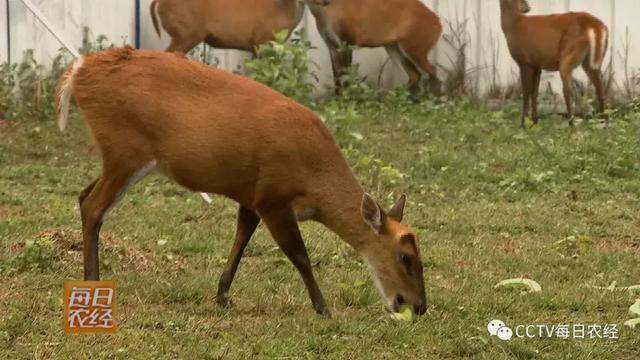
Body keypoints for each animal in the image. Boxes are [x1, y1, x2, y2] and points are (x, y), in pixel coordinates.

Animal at [55, 47, 424, 316]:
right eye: (406, 257)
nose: (419, 306)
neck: (315, 180)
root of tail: (78, 71)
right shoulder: (273, 197)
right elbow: (300, 256)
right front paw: (323, 309)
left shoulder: (251, 197)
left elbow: (240, 242)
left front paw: (222, 296)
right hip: (125, 149)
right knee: (93, 206)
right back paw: (92, 281)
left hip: (121, 156)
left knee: (83, 195)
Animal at [308, 0, 440, 95]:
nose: (326, 1)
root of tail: (438, 23)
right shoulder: (331, 45)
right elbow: (336, 75)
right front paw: (337, 98)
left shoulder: (348, 41)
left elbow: (345, 73)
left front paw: (346, 97)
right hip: (393, 46)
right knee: (415, 74)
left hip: (415, 47)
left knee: (432, 70)